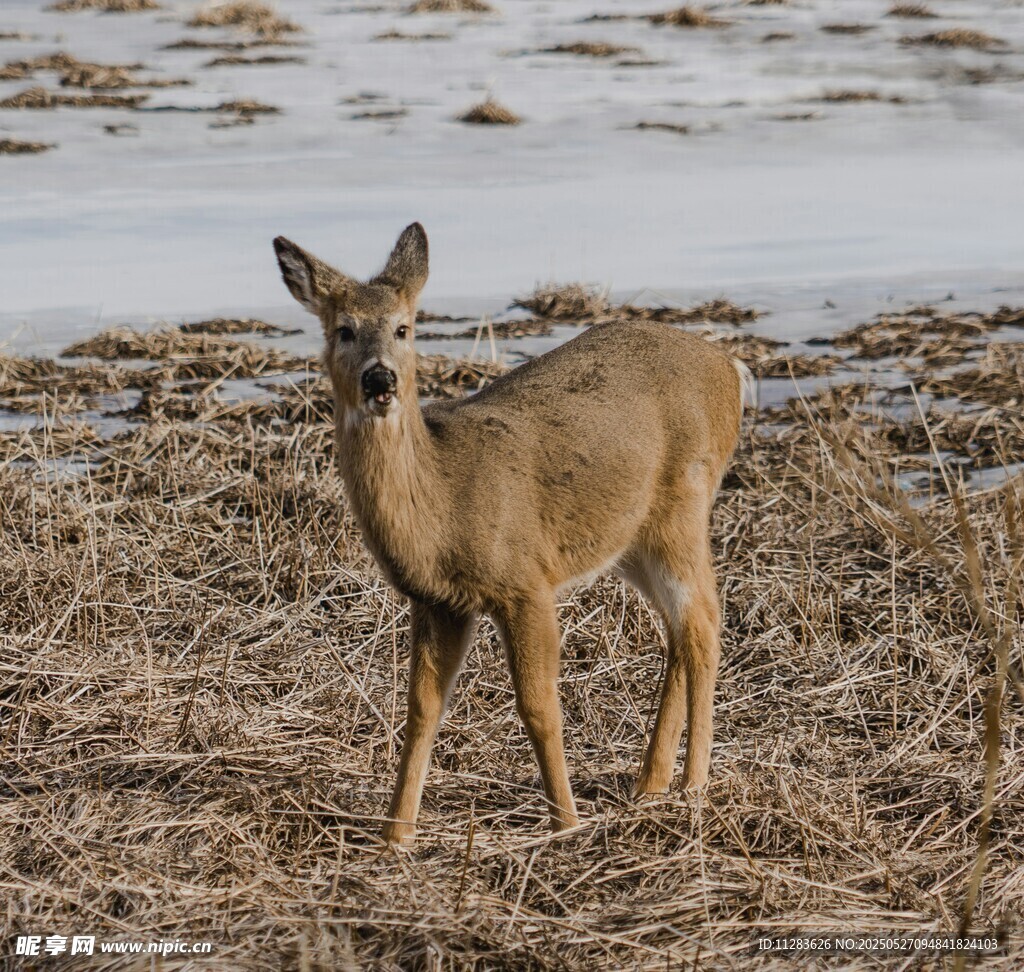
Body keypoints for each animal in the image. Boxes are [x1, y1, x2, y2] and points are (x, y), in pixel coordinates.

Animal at [273, 223, 748, 844]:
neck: (443, 507)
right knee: (677, 626)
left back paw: (692, 787)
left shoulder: (524, 581)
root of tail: (729, 367)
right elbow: (421, 710)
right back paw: (650, 785)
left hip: (684, 506)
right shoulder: (438, 602)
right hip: (631, 539)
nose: (380, 378)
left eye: (404, 327)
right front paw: (395, 836)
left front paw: (565, 823)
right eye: (344, 329)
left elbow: (539, 707)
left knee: (704, 621)